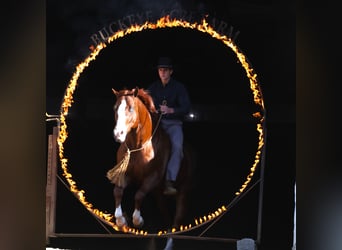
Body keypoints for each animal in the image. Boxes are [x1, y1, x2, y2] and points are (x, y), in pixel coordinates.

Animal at [105, 86, 194, 234]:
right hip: (159, 196)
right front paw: (121, 220)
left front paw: (138, 220)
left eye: (130, 108)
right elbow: (117, 192)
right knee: (165, 214)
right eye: (114, 108)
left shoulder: (152, 178)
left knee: (177, 218)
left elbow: (139, 194)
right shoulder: (125, 175)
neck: (138, 146)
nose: (118, 134)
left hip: (183, 190)